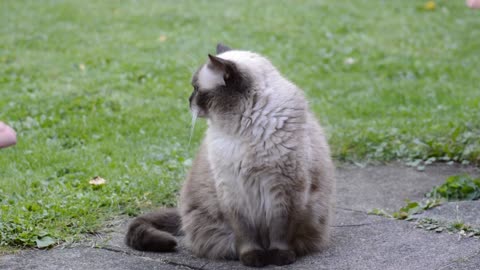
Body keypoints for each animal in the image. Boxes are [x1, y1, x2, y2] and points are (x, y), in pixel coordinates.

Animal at [127, 43, 338, 266]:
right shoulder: (233, 192)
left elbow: (280, 231)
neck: (244, 128)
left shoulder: (285, 190)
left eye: (196, 89)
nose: (188, 100)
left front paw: (280, 258)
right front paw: (253, 259)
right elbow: (245, 235)